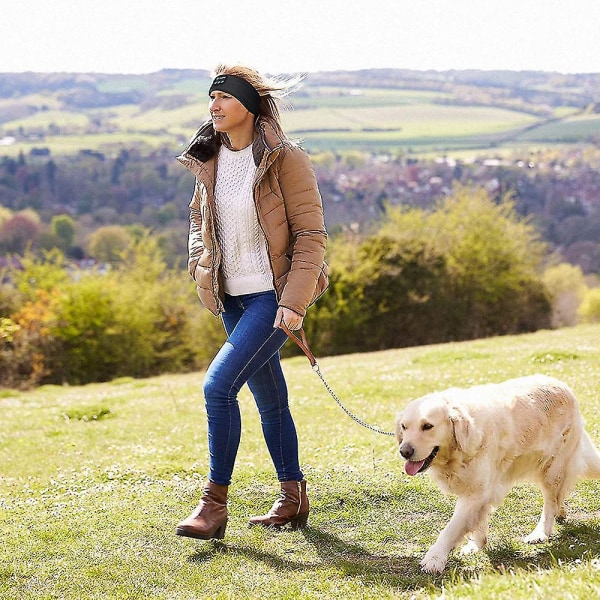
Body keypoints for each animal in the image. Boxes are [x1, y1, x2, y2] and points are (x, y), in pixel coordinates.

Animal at [394, 372, 600, 576]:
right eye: (404, 427)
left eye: (427, 426)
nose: (404, 451)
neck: (461, 448)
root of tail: (562, 385)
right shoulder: (480, 492)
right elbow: (478, 520)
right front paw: (476, 545)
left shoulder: (476, 493)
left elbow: (451, 529)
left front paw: (434, 559)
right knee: (559, 496)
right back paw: (561, 513)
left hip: (552, 469)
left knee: (550, 503)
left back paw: (540, 533)